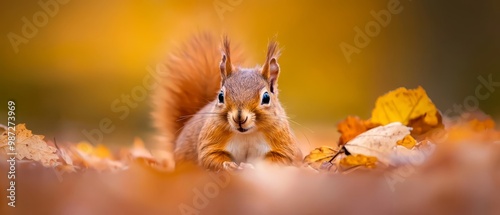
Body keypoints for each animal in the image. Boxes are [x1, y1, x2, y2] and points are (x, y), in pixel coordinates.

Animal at [152, 33, 300, 170]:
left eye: (266, 98)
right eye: (221, 96)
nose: (239, 117)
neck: (246, 135)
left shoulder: (283, 144)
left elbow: (281, 158)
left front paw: (250, 167)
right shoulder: (210, 140)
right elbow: (210, 156)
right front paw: (229, 165)